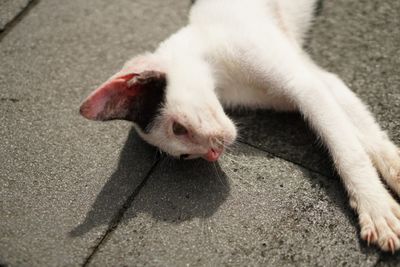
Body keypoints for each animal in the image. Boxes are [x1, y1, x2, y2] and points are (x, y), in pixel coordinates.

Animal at [79, 0, 400, 252]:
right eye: (185, 156)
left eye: (178, 129)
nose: (212, 154)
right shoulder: (306, 81)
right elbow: (355, 128)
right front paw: (391, 169)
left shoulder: (300, 80)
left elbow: (348, 148)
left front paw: (376, 207)